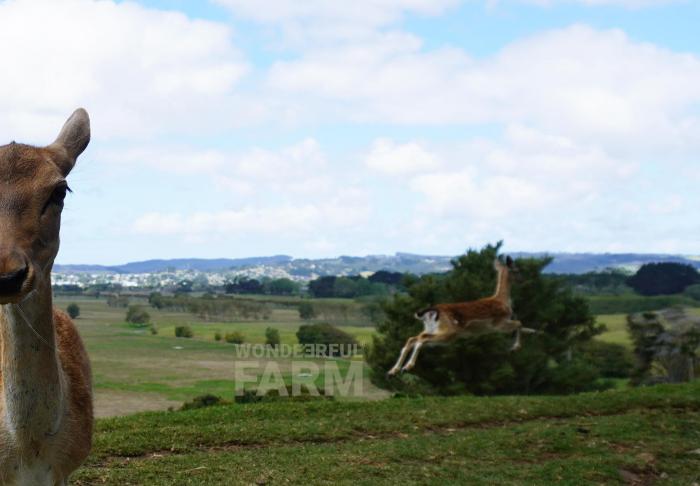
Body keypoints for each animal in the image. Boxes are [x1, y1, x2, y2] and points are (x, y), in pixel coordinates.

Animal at [388, 256, 536, 376]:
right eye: (517, 270)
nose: (522, 280)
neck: (503, 301)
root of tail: (433, 310)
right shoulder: (498, 324)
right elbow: (519, 323)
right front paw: (515, 348)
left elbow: (522, 325)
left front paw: (531, 332)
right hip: (449, 332)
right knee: (421, 339)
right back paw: (407, 367)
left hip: (432, 329)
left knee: (412, 339)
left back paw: (393, 371)